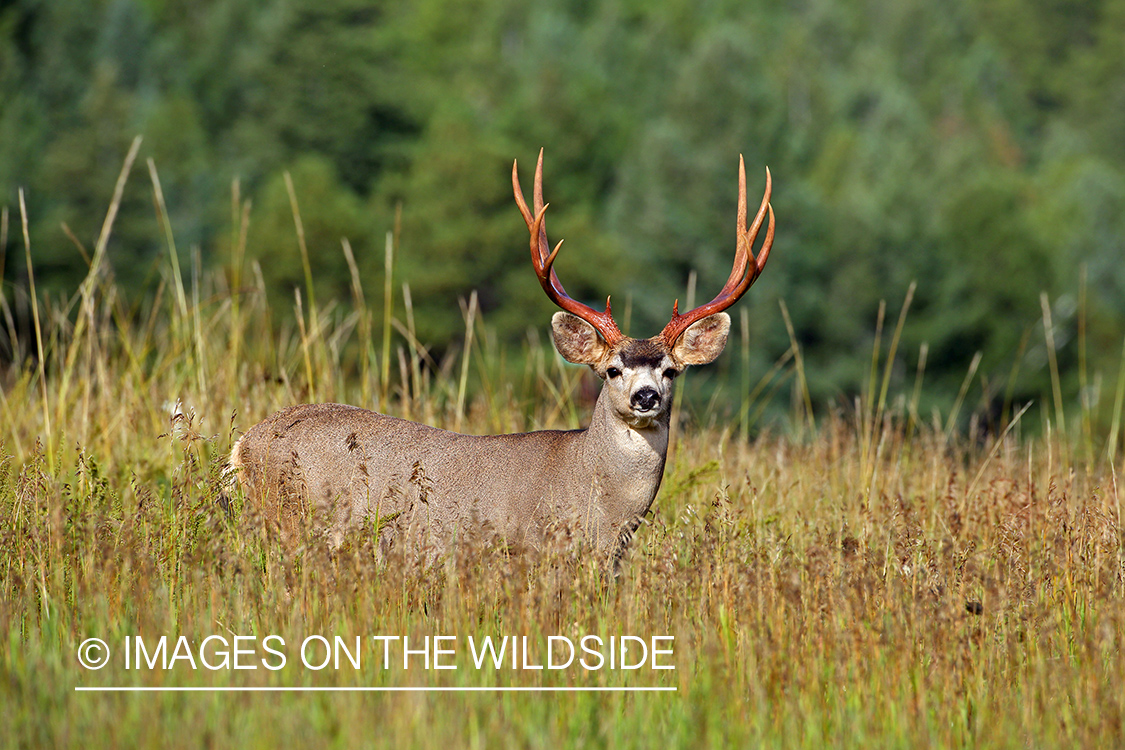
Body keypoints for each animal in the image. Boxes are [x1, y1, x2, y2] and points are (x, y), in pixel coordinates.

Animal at [228, 149, 774, 568]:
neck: (600, 508)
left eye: (671, 370)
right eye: (611, 369)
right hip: (291, 515)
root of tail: (243, 445)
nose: (646, 396)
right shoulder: (523, 549)